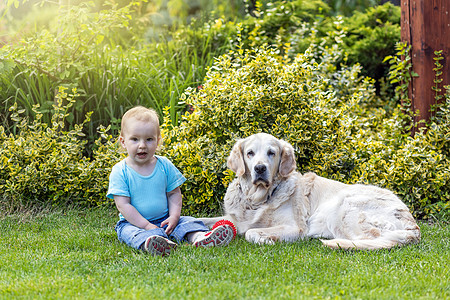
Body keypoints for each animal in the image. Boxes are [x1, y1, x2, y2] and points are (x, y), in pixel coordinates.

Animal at [199, 132, 420, 250]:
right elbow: (203, 220)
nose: (260, 168)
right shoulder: (233, 218)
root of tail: (413, 226)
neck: (257, 199)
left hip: (344, 207)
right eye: (250, 153)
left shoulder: (295, 228)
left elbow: (251, 231)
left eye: (271, 153)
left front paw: (266, 239)